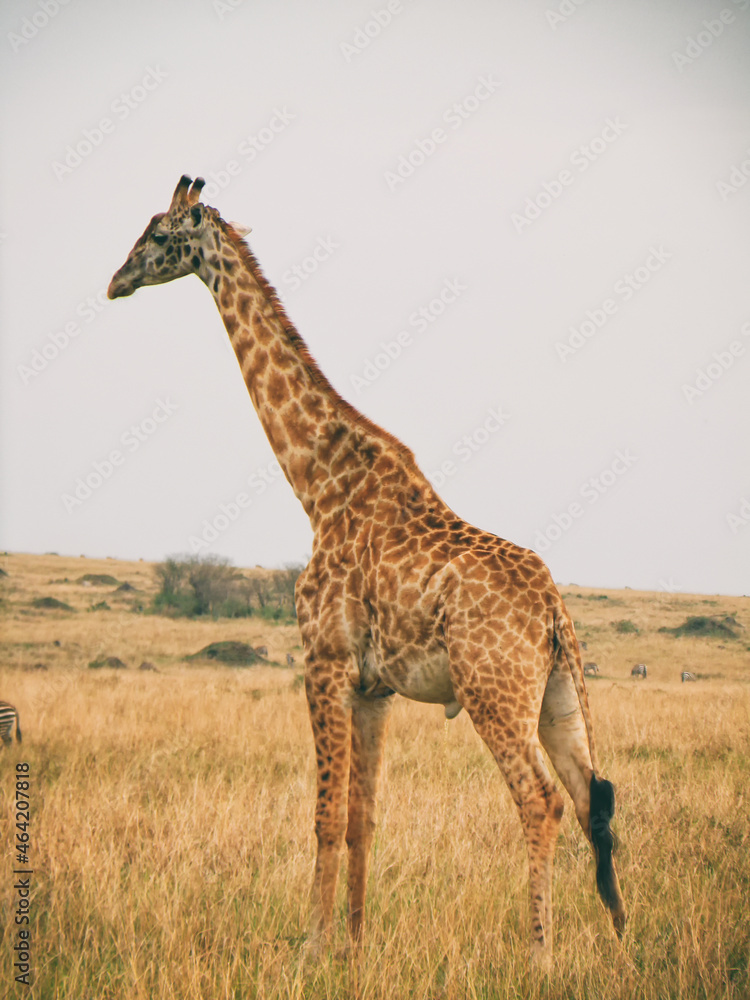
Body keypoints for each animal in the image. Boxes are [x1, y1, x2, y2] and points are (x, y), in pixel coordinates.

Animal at [108, 175, 626, 962]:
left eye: (159, 236)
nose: (115, 282)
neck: (317, 485)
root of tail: (554, 614)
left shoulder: (322, 660)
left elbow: (324, 815)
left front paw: (310, 947)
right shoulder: (373, 687)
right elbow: (362, 818)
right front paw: (353, 944)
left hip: (493, 693)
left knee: (541, 799)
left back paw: (538, 953)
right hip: (561, 698)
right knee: (595, 794)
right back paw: (620, 942)